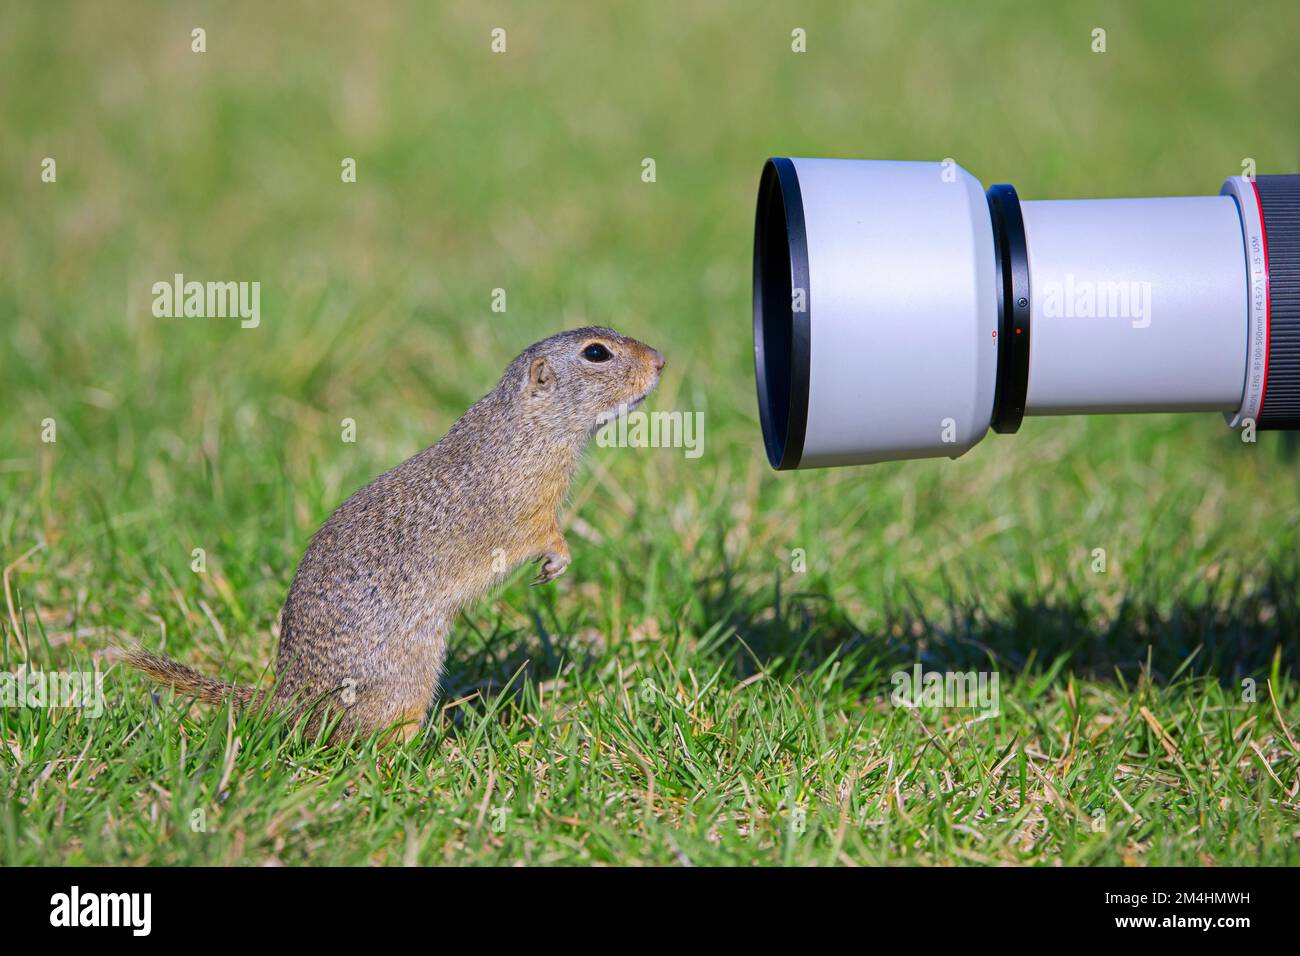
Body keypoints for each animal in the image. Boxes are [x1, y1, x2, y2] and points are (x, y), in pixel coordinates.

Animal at [126, 326, 664, 743]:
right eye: (596, 353)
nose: (660, 360)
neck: (526, 426)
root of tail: (292, 701)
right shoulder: (531, 507)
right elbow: (545, 534)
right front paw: (558, 560)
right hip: (405, 684)